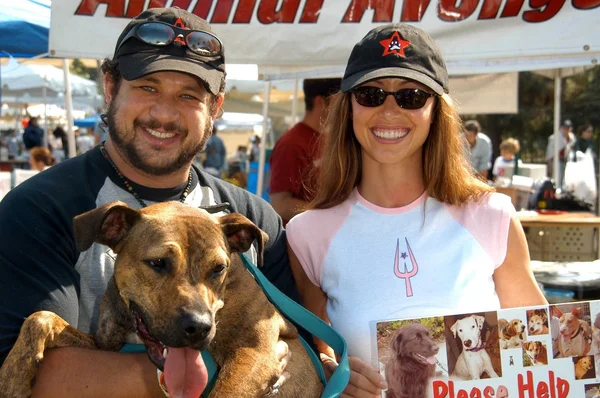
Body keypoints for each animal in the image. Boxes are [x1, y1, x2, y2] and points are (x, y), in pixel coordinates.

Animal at [0, 202, 324, 398]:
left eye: (218, 268)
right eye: (158, 263)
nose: (199, 327)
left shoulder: (255, 355)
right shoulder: (105, 345)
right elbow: (41, 318)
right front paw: (13, 378)